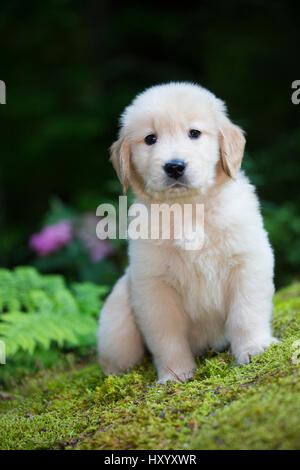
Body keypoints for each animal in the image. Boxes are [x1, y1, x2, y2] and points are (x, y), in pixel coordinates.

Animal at [97, 81, 278, 382]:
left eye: (194, 133)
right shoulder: (154, 286)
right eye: (150, 139)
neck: (188, 209)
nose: (174, 166)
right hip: (117, 322)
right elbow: (166, 337)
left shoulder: (248, 261)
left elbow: (246, 313)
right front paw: (174, 375)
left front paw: (254, 348)